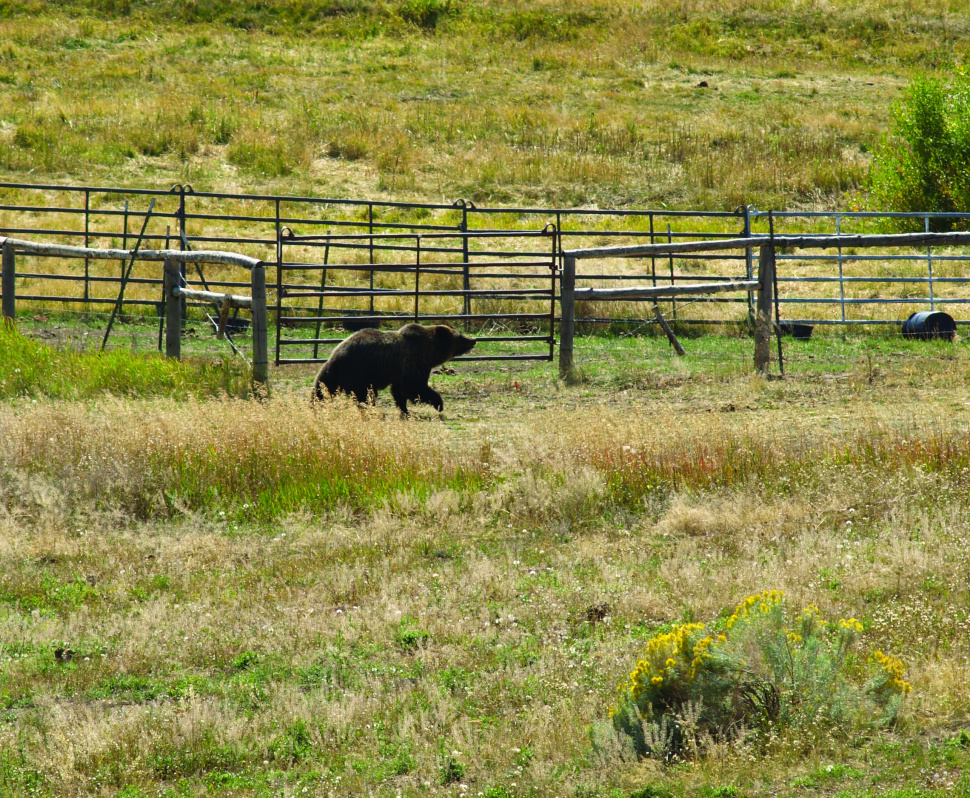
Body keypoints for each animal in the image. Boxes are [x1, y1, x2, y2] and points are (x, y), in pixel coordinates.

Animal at [312, 323, 475, 415]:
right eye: (460, 337)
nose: (473, 340)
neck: (429, 352)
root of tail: (335, 356)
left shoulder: (399, 372)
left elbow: (399, 391)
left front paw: (404, 409)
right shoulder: (414, 364)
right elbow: (416, 388)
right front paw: (438, 403)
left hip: (335, 374)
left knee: (321, 389)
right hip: (360, 371)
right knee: (366, 395)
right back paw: (371, 409)